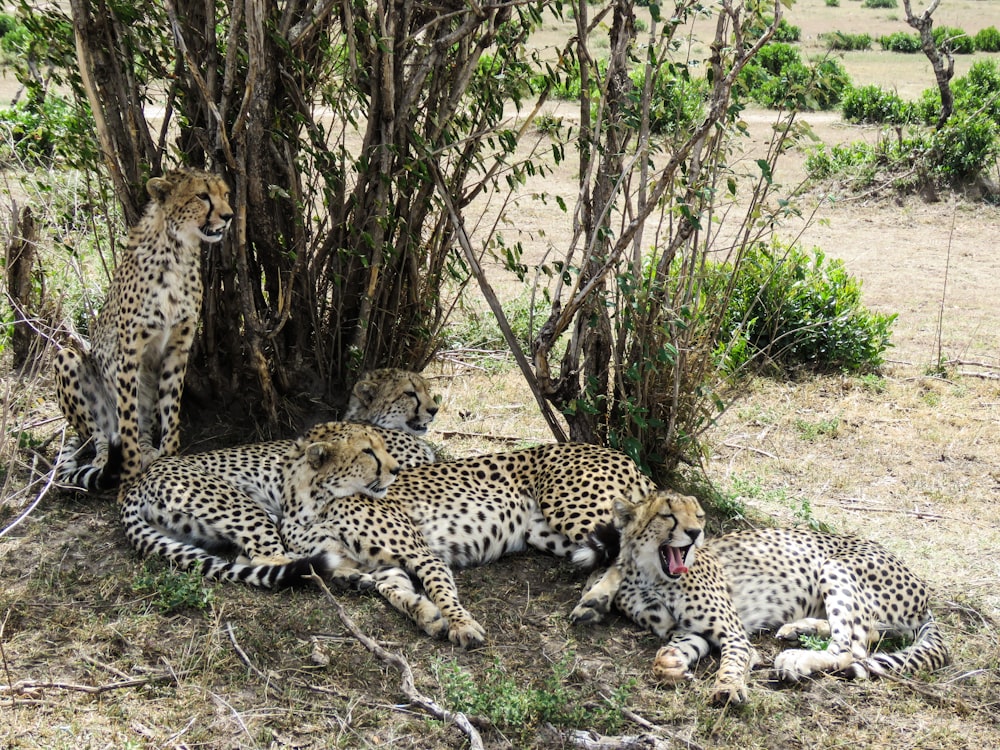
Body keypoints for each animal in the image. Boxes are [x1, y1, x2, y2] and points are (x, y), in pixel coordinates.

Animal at [55, 167, 234, 490]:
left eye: (225, 194)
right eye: (202, 196)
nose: (228, 216)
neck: (177, 251)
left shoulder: (178, 347)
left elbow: (170, 412)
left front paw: (169, 458)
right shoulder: (129, 352)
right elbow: (127, 418)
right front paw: (128, 473)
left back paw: (148, 451)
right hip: (68, 359)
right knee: (100, 434)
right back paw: (104, 462)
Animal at [282, 444, 656, 648]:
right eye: (367, 452)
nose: (393, 470)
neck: (310, 508)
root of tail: (620, 454)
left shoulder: (422, 554)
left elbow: (440, 590)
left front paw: (460, 625)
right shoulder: (385, 567)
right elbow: (396, 593)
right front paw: (427, 615)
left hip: (574, 509)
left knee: (637, 549)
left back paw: (596, 599)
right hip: (549, 533)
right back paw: (595, 598)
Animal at [572, 494, 952, 704]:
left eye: (699, 516)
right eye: (668, 514)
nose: (695, 533)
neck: (652, 576)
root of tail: (924, 592)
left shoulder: (734, 633)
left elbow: (735, 660)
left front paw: (728, 687)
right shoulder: (689, 631)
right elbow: (673, 649)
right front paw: (670, 665)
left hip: (836, 566)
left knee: (853, 648)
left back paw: (797, 659)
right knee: (869, 631)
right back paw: (799, 628)